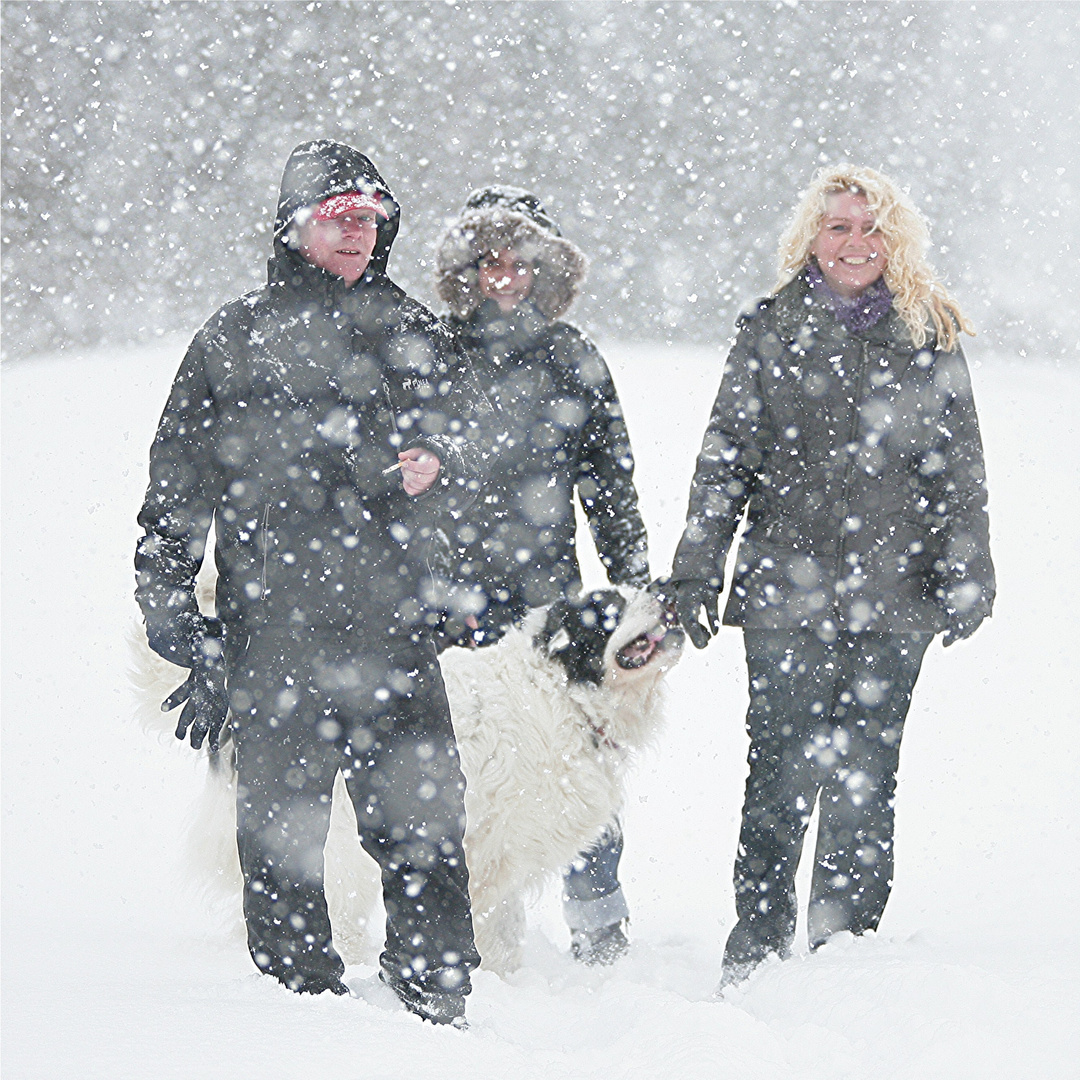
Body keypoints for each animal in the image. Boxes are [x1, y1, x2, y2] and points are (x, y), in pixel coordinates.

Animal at [130, 587, 678, 976]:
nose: (669, 594)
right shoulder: (487, 850)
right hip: (333, 843)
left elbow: (505, 931)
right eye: (608, 607)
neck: (557, 692)